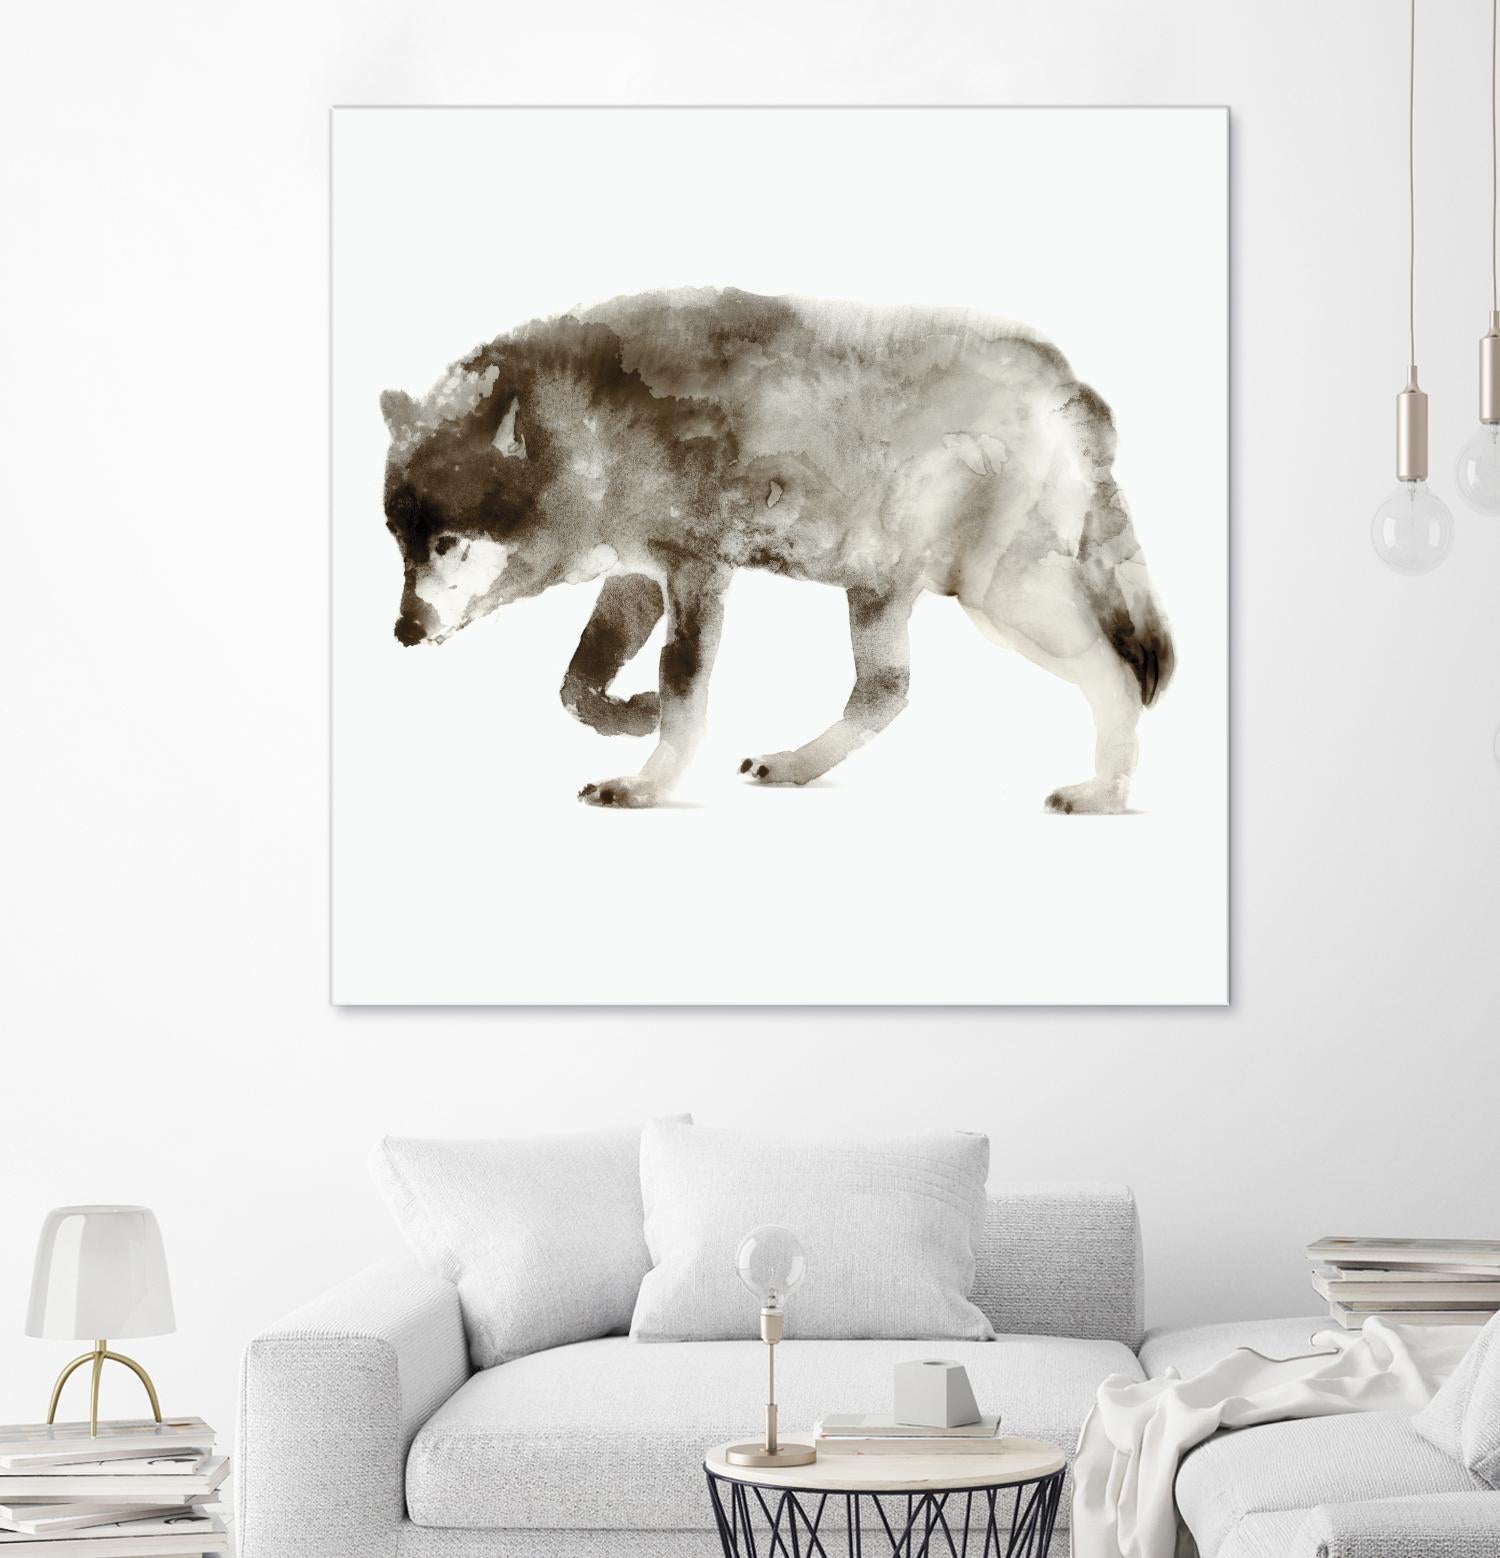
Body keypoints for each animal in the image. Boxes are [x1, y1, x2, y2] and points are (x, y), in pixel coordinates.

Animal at [381, 288, 1174, 811]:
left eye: (447, 542)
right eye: (399, 543)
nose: (403, 631)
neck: (586, 427)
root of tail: (1065, 380)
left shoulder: (697, 572)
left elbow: (682, 690)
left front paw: (644, 783)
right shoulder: (640, 575)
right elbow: (577, 684)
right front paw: (631, 714)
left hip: (998, 598)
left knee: (1118, 674)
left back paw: (1105, 792)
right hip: (879, 588)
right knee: (887, 691)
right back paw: (795, 765)